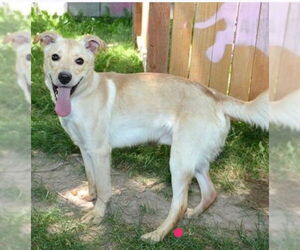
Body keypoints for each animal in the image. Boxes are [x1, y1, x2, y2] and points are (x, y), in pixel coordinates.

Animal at [34, 31, 268, 242]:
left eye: (79, 61)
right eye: (55, 57)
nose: (64, 77)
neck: (83, 93)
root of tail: (215, 95)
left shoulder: (101, 152)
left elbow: (104, 188)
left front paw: (98, 214)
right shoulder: (84, 149)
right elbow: (91, 178)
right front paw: (90, 196)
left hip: (179, 162)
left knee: (179, 204)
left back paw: (157, 234)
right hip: (195, 160)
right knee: (210, 193)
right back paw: (193, 214)